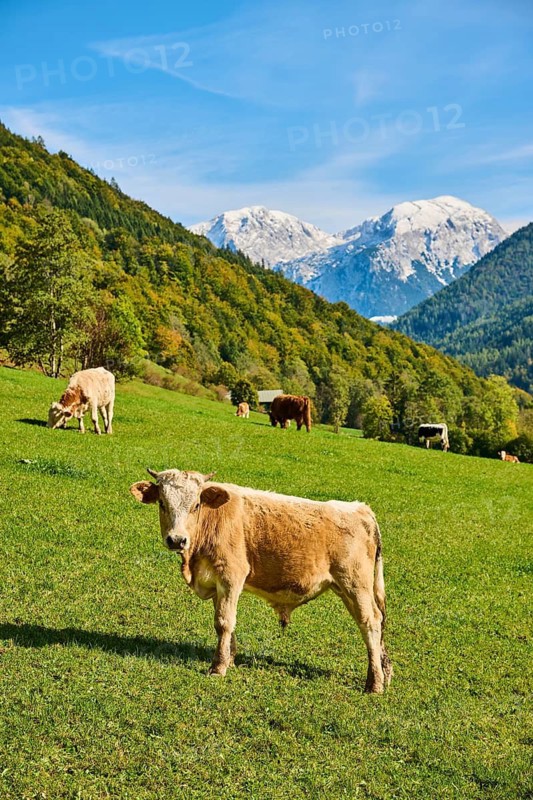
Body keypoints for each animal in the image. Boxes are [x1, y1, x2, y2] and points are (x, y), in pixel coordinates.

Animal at [130, 468, 392, 693]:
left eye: (196, 505)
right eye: (162, 503)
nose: (177, 539)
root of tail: (361, 509)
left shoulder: (231, 575)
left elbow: (224, 622)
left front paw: (218, 667)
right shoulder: (217, 583)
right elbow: (226, 621)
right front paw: (229, 658)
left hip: (355, 584)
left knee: (370, 622)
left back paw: (375, 683)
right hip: (347, 589)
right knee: (376, 622)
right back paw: (384, 671)